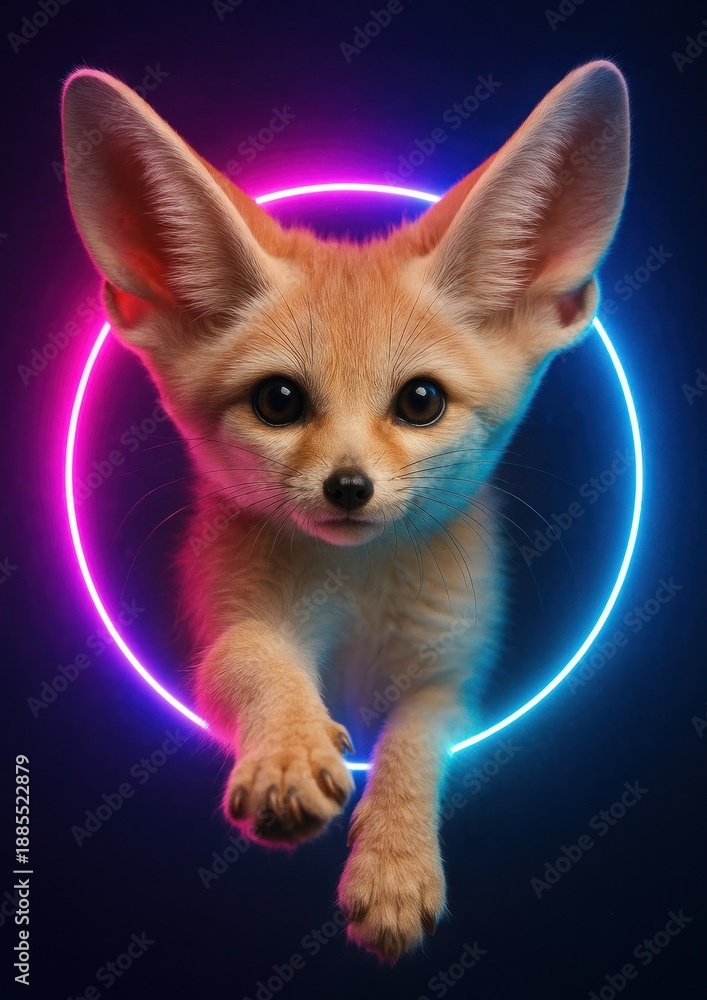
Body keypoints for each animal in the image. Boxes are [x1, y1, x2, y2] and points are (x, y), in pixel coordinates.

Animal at [61, 60, 629, 961]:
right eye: (279, 401)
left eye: (420, 401)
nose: (348, 487)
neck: (358, 592)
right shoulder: (228, 624)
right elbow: (256, 661)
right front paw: (288, 753)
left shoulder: (452, 680)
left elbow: (411, 743)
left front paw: (394, 864)